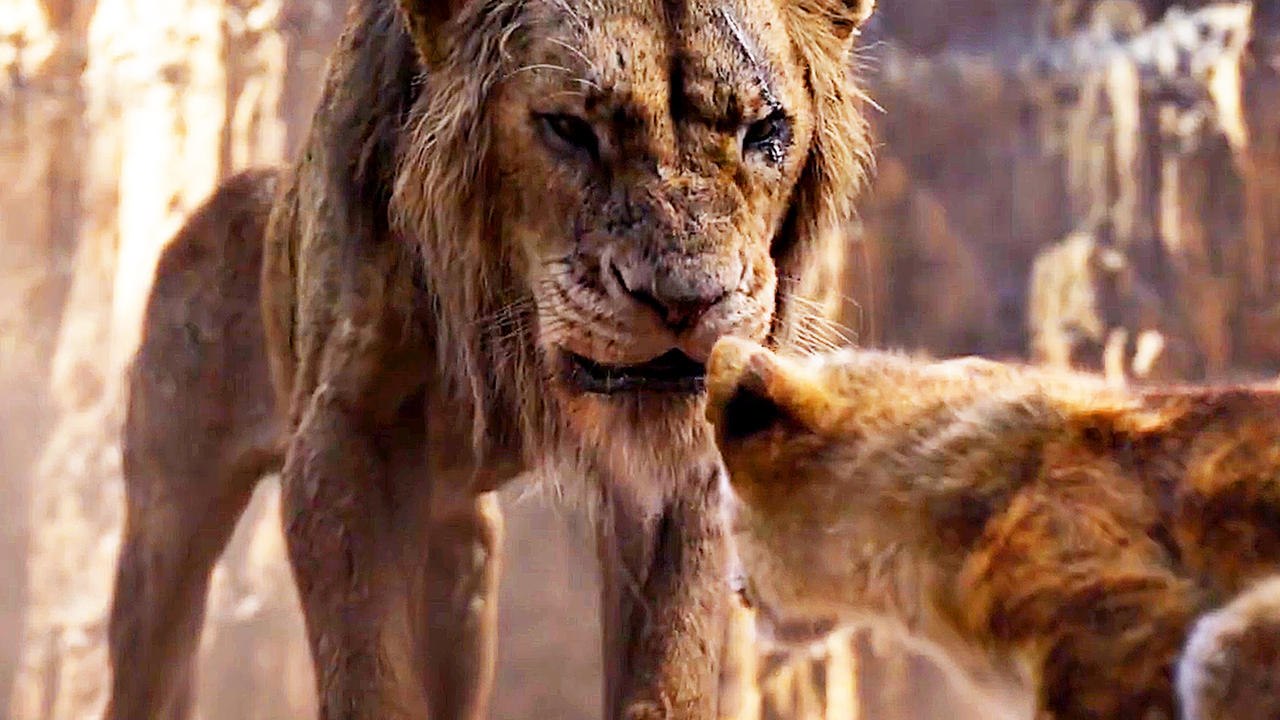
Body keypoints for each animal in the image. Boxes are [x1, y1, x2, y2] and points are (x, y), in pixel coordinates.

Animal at [103, 1, 877, 718]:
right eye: (569, 129)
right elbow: (369, 670)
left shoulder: (681, 472)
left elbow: (671, 663)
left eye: (764, 131)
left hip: (462, 564)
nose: (687, 300)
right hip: (166, 527)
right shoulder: (344, 432)